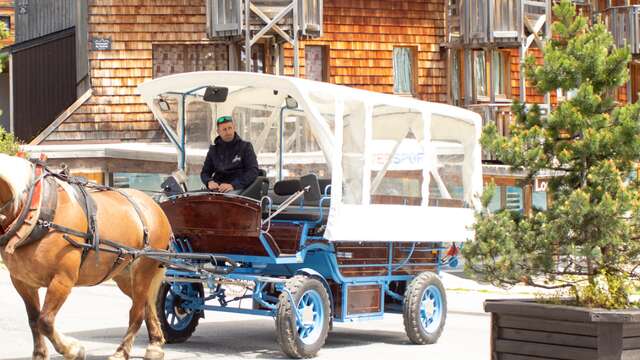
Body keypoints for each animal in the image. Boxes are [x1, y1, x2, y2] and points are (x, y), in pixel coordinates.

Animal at [0, 154, 171, 360]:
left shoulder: (62, 280)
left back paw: (122, 351)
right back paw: (155, 345)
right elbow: (33, 319)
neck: (38, 212)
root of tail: (154, 204)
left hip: (143, 269)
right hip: (124, 274)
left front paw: (73, 349)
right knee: (146, 304)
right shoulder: (22, 281)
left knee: (136, 312)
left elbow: (45, 321)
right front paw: (40, 354)